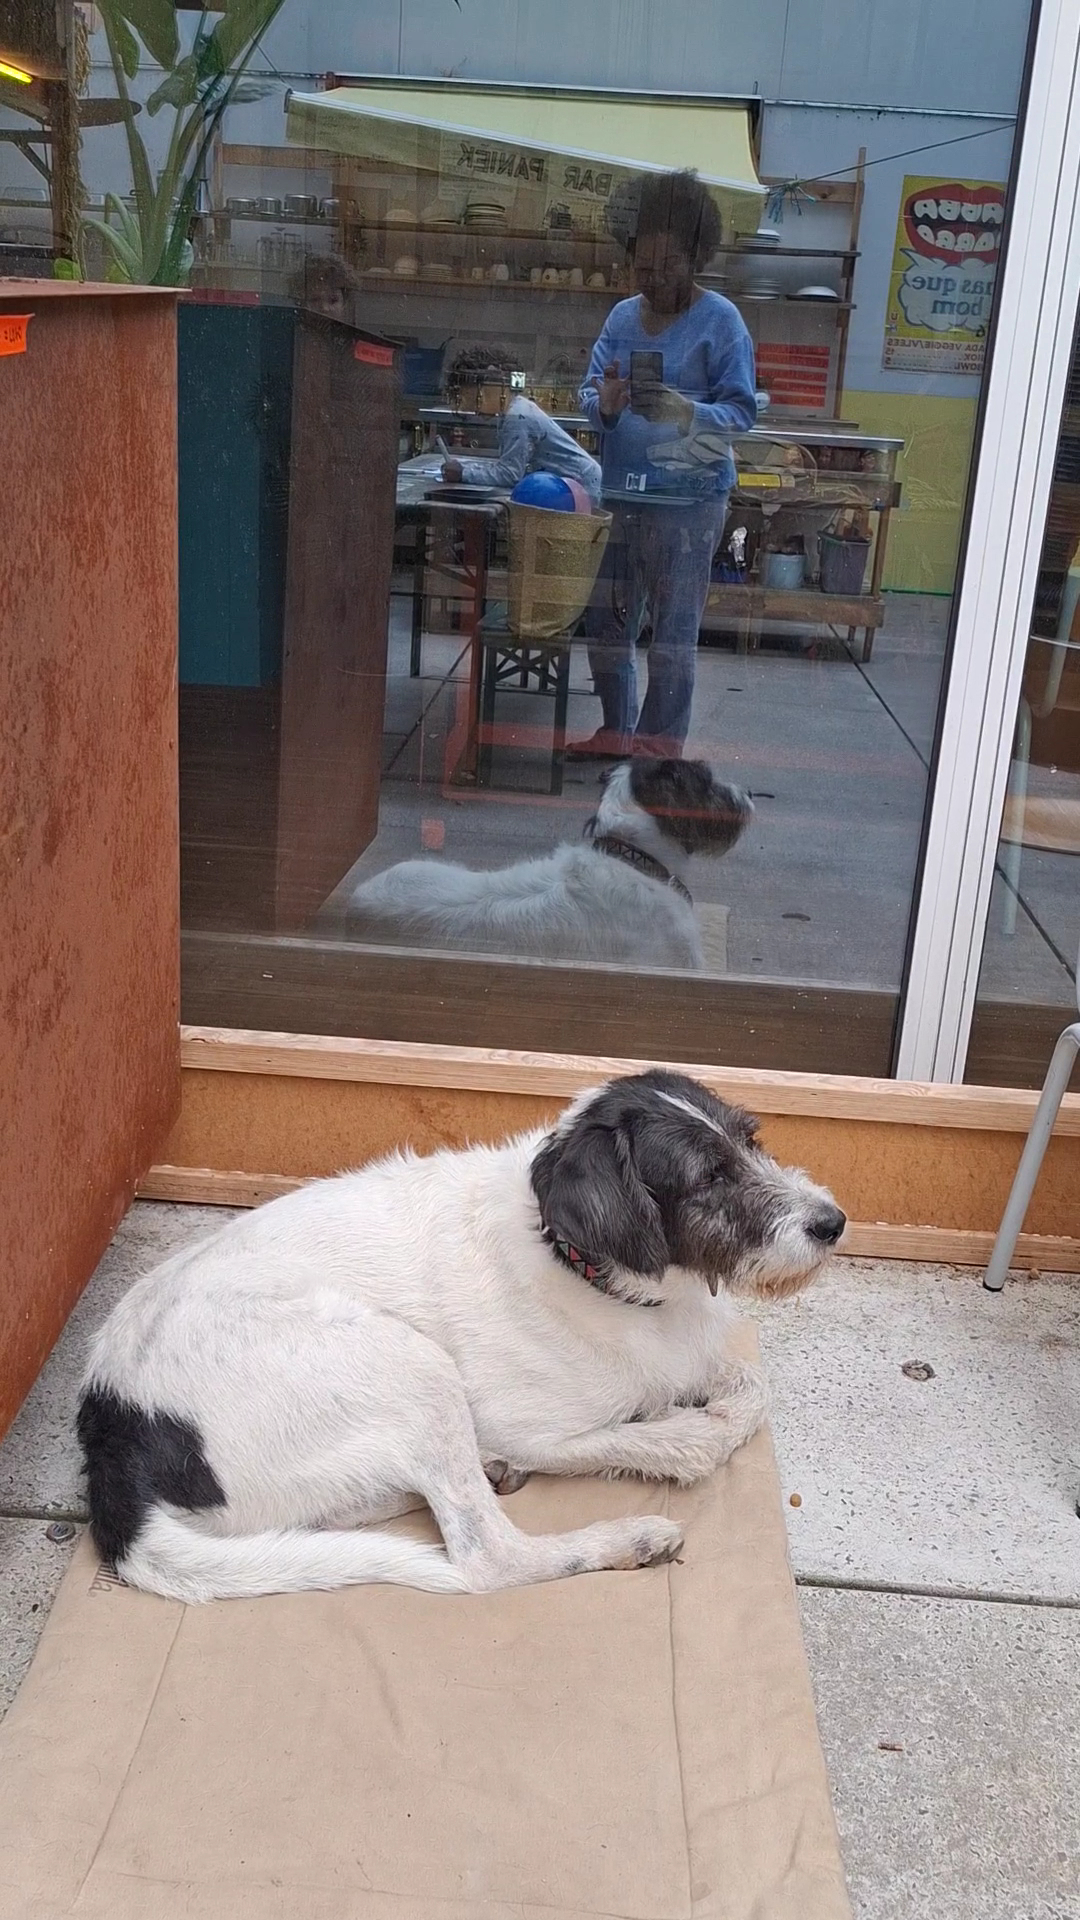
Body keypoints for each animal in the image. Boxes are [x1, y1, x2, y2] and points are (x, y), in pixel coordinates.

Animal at [78, 1071, 845, 1604]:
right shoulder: (527, 1425)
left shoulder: (692, 1355)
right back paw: (622, 1537)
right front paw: (684, 1434)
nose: (833, 1222)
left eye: (751, 1139)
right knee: (487, 1557)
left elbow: (750, 1387)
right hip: (411, 1365)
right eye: (707, 1176)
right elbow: (677, 1439)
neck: (575, 1259)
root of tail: (113, 1425)